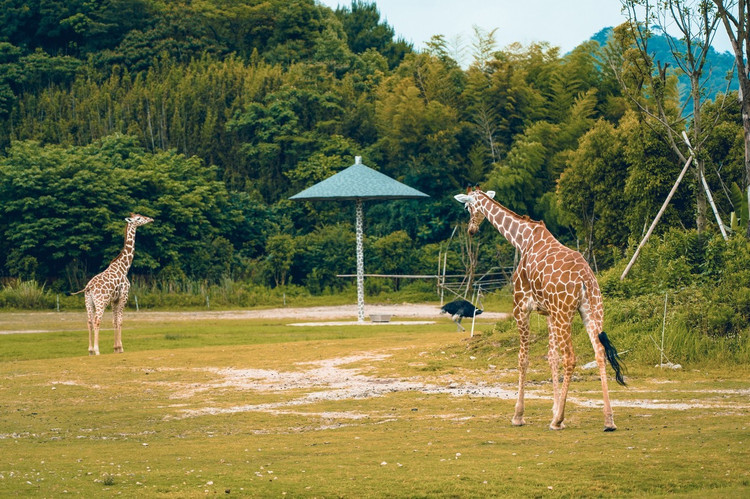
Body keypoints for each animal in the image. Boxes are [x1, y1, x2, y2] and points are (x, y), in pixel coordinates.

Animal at [71, 213, 153, 358]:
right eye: (138, 218)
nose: (150, 219)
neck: (124, 267)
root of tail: (89, 287)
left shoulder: (114, 300)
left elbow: (114, 321)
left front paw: (115, 348)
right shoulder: (123, 296)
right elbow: (120, 321)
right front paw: (120, 348)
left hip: (88, 302)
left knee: (89, 321)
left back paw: (90, 350)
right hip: (101, 301)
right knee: (97, 320)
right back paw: (97, 350)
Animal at [456, 189, 624, 432]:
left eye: (467, 207)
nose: (471, 229)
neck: (522, 238)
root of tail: (585, 279)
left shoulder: (521, 307)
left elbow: (523, 359)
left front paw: (519, 415)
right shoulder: (548, 313)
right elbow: (551, 357)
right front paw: (554, 408)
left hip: (565, 313)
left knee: (571, 358)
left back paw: (558, 421)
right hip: (592, 311)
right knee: (599, 352)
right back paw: (608, 420)